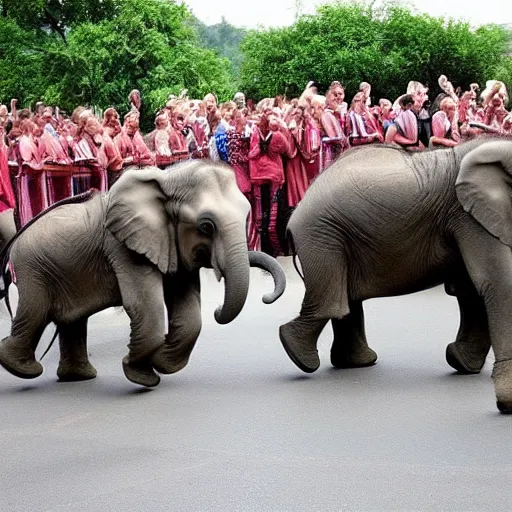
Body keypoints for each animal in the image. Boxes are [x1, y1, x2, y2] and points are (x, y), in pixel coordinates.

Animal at [0, 160, 286, 388]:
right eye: (206, 226)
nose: (217, 310)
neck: (167, 181)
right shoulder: (122, 245)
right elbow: (146, 305)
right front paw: (143, 378)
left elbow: (188, 311)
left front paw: (161, 365)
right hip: (34, 267)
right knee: (36, 312)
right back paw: (22, 369)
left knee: (73, 320)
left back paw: (78, 377)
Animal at [278, 138, 512, 414]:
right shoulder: (468, 216)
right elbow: (494, 281)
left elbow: (470, 289)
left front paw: (462, 363)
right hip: (322, 236)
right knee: (332, 303)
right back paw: (299, 354)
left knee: (347, 303)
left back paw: (356, 363)